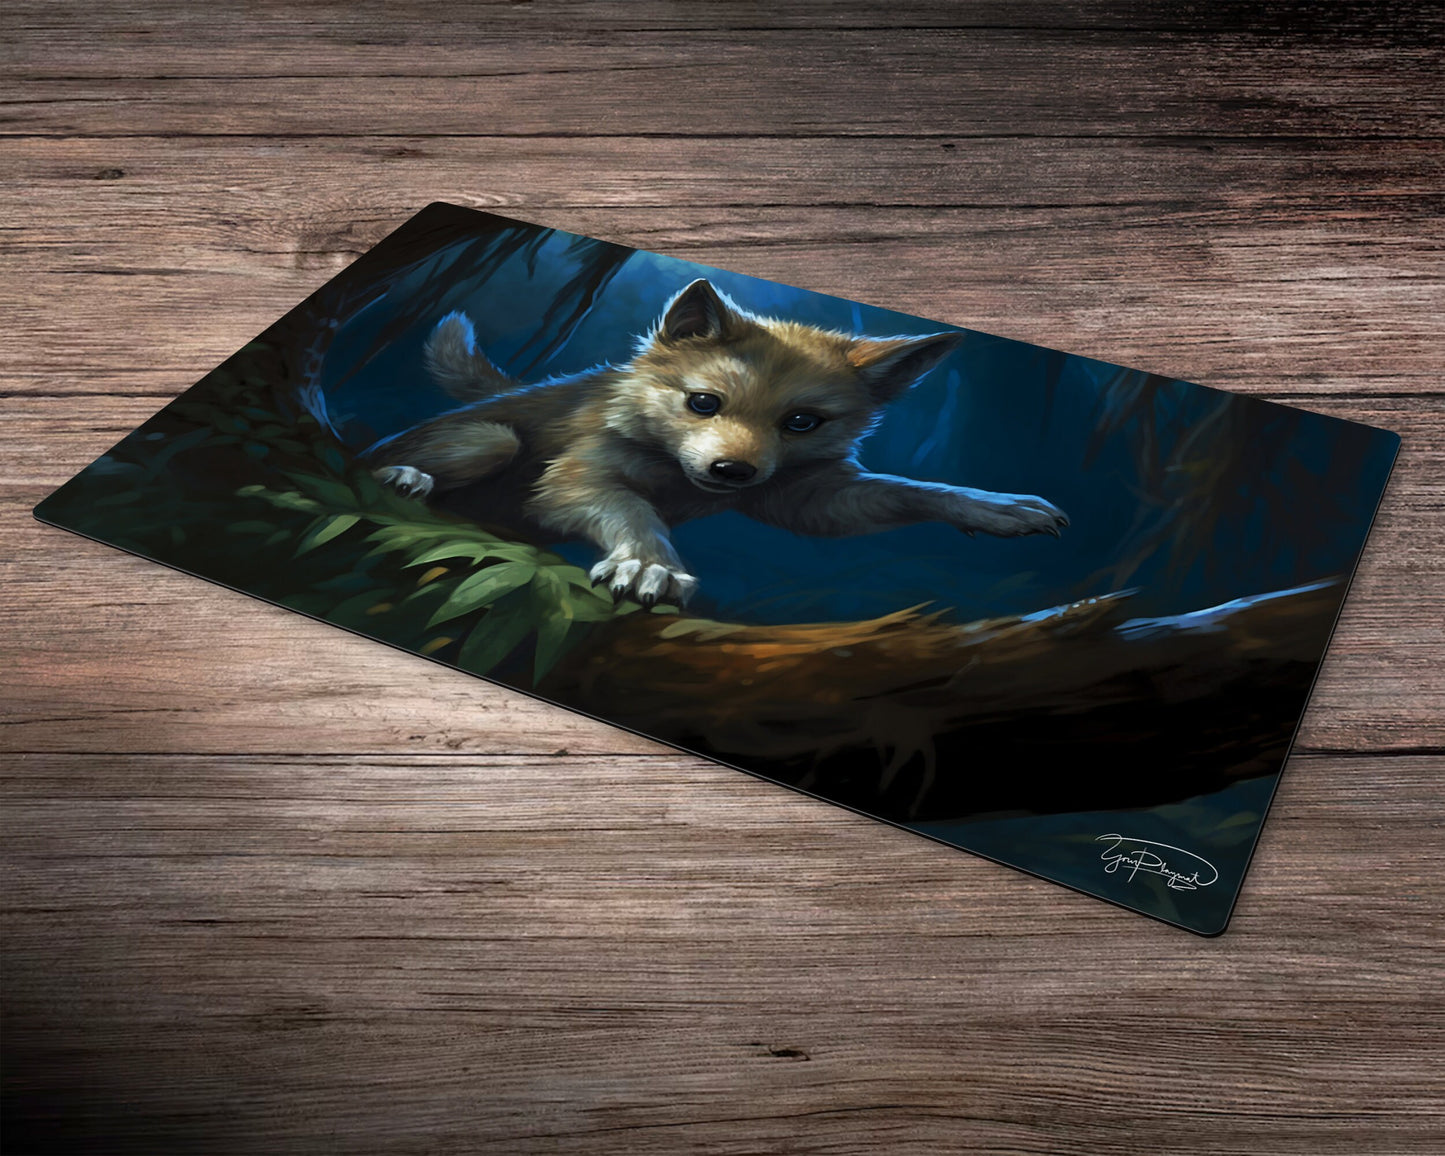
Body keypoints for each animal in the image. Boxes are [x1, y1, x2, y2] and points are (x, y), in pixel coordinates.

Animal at [362, 279, 1068, 606]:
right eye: (704, 403)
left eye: (802, 422)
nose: (732, 471)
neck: (674, 473)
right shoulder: (574, 481)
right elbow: (631, 511)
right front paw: (649, 565)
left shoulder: (802, 498)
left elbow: (909, 488)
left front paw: (999, 508)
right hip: (487, 440)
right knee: (388, 456)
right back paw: (405, 478)